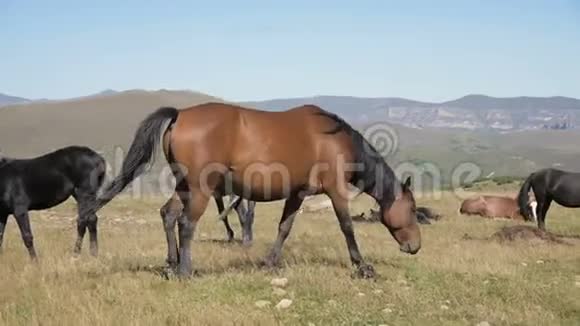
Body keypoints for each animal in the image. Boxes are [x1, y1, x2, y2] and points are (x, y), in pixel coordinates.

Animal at [95, 102, 422, 278]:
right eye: (413, 210)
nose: (415, 246)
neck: (334, 139)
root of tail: (180, 115)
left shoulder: (297, 194)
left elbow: (284, 228)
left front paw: (270, 262)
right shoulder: (336, 190)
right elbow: (347, 227)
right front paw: (362, 267)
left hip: (184, 185)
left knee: (168, 215)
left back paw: (172, 265)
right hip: (200, 188)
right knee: (186, 223)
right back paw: (186, 270)